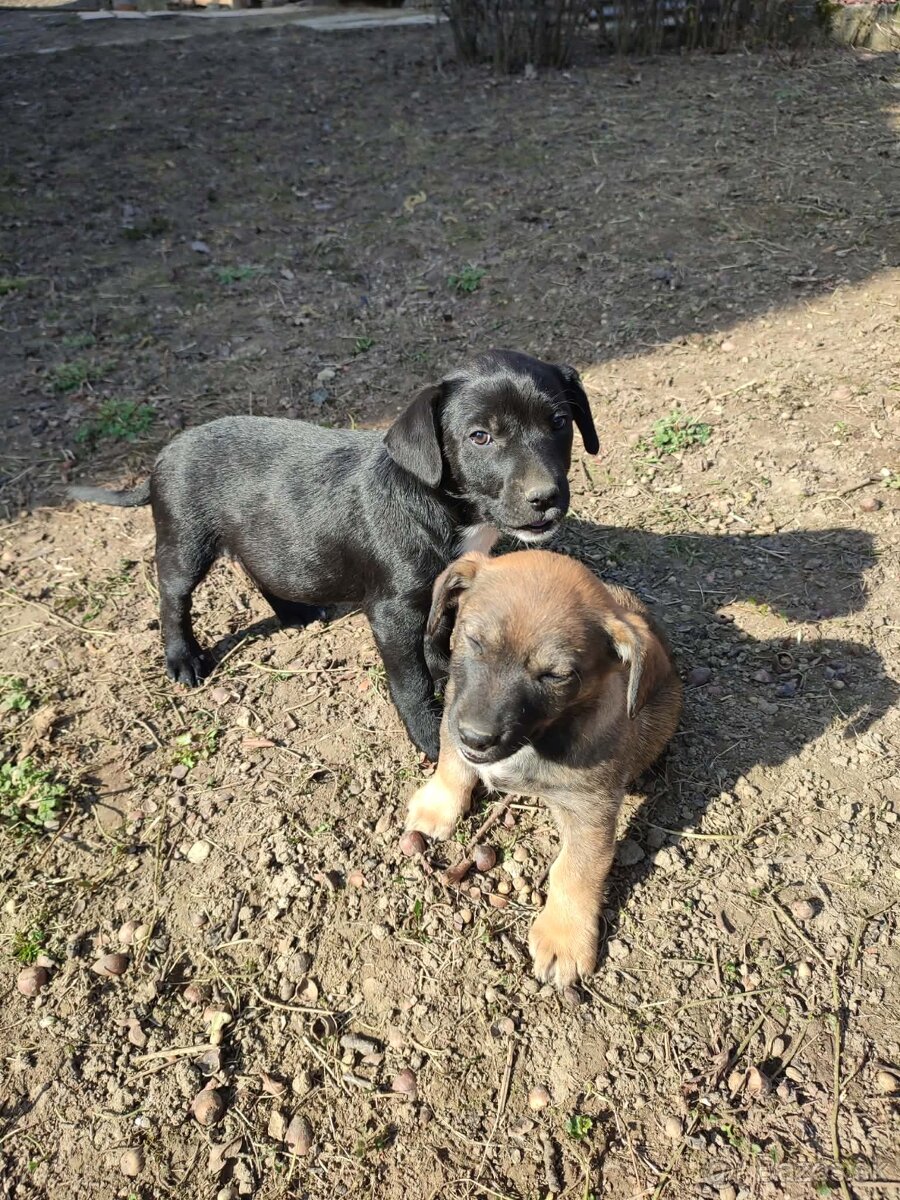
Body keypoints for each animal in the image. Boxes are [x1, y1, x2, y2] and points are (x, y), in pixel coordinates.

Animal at [69, 350, 599, 760]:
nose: (546, 497)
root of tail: (162, 455)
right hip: (184, 541)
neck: (439, 505)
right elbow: (409, 681)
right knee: (172, 598)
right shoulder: (390, 612)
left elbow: (437, 634)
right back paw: (182, 659)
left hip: (262, 537)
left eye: (559, 422)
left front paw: (446, 669)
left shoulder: (441, 587)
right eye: (480, 436)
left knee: (260, 569)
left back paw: (294, 612)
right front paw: (429, 735)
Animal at [404, 548, 682, 986]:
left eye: (555, 676)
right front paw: (438, 805)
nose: (477, 738)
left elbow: (575, 870)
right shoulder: (453, 708)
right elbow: (452, 761)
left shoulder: (592, 809)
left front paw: (564, 937)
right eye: (474, 641)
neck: (541, 737)